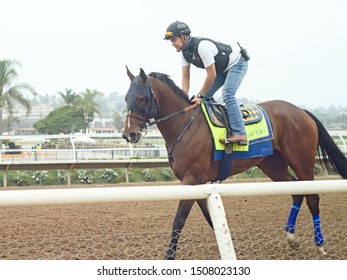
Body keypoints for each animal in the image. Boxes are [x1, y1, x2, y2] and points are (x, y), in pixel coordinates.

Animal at [121, 66, 347, 260]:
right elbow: (209, 217)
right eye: (126, 98)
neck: (186, 125)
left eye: (142, 98)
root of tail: (301, 111)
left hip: (302, 161)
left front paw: (169, 256)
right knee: (296, 191)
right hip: (272, 164)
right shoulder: (197, 183)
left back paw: (320, 244)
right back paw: (291, 238)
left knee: (313, 197)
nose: (128, 134)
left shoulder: (191, 179)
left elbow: (179, 219)